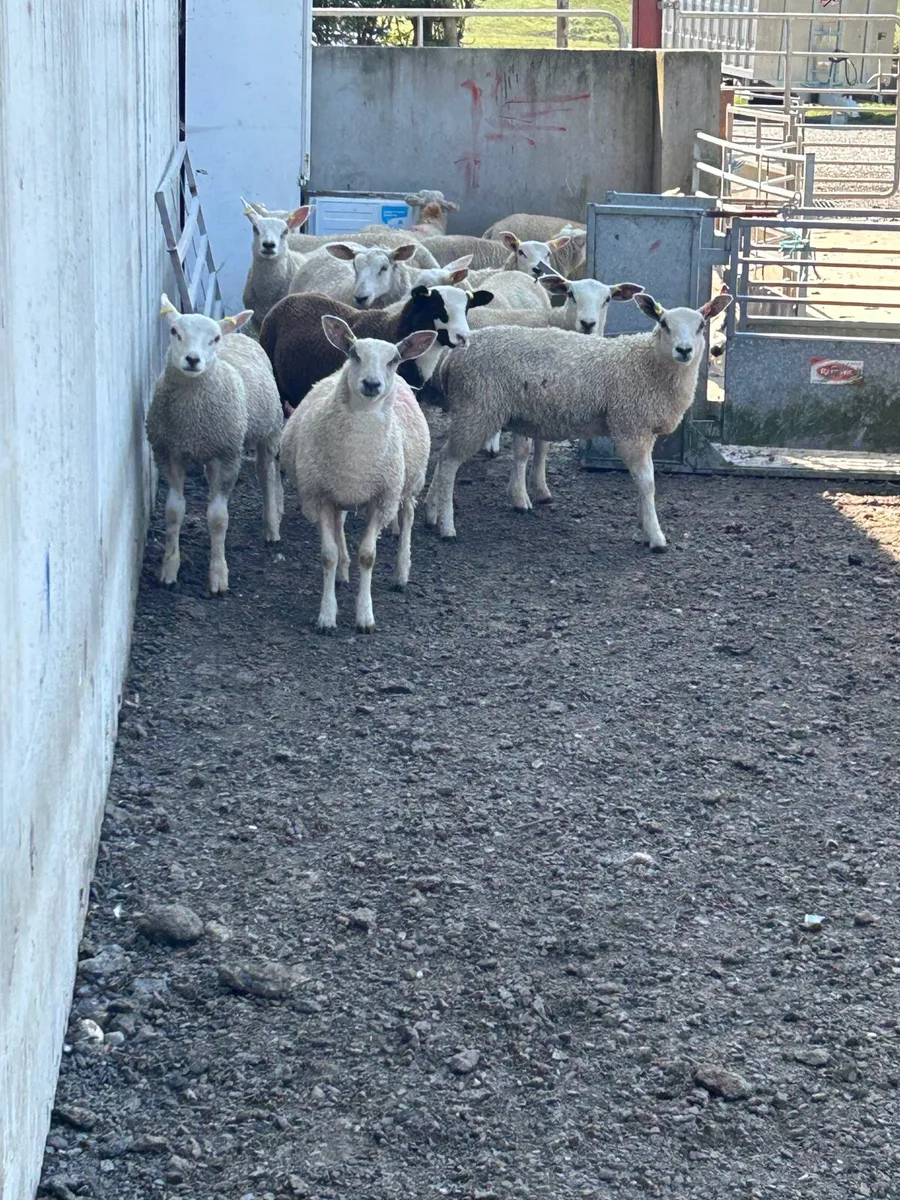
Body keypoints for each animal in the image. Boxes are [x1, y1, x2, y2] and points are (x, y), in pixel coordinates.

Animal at [146, 295, 284, 594]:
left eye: (215, 338)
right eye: (174, 331)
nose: (192, 359)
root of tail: (238, 333)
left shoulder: (228, 455)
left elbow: (218, 519)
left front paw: (218, 576)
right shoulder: (170, 453)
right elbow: (173, 511)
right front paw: (169, 569)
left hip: (268, 431)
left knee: (266, 474)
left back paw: (271, 526)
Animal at [281, 317, 435, 633]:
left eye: (394, 359)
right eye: (354, 354)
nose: (372, 384)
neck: (357, 452)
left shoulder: (382, 499)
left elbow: (368, 556)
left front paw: (365, 616)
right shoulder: (319, 495)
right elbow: (327, 556)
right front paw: (327, 615)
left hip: (409, 483)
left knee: (408, 516)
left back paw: (401, 573)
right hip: (340, 491)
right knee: (340, 525)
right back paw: (342, 572)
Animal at [424, 291, 732, 547]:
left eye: (701, 326)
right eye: (665, 323)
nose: (684, 350)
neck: (647, 365)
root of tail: (455, 356)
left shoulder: (646, 429)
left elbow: (643, 481)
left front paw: (644, 524)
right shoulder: (630, 426)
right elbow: (647, 482)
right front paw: (656, 537)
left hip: (473, 409)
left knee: (442, 456)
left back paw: (431, 513)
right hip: (478, 408)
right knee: (449, 462)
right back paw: (447, 527)